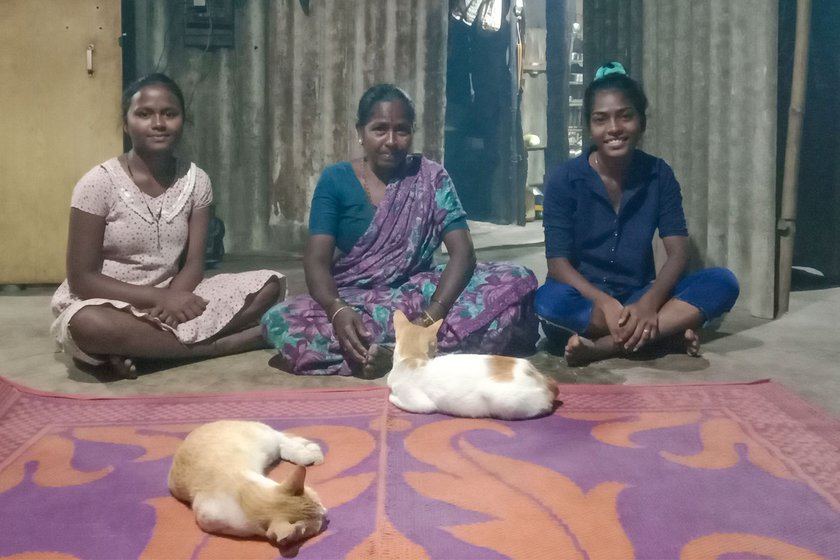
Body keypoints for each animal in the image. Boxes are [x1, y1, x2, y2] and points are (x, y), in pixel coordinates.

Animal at [167, 420, 328, 548]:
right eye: (317, 523)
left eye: (318, 501)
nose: (325, 512)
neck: (244, 498)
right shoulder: (208, 519)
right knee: (283, 444)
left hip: (267, 440)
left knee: (283, 439)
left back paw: (310, 455)